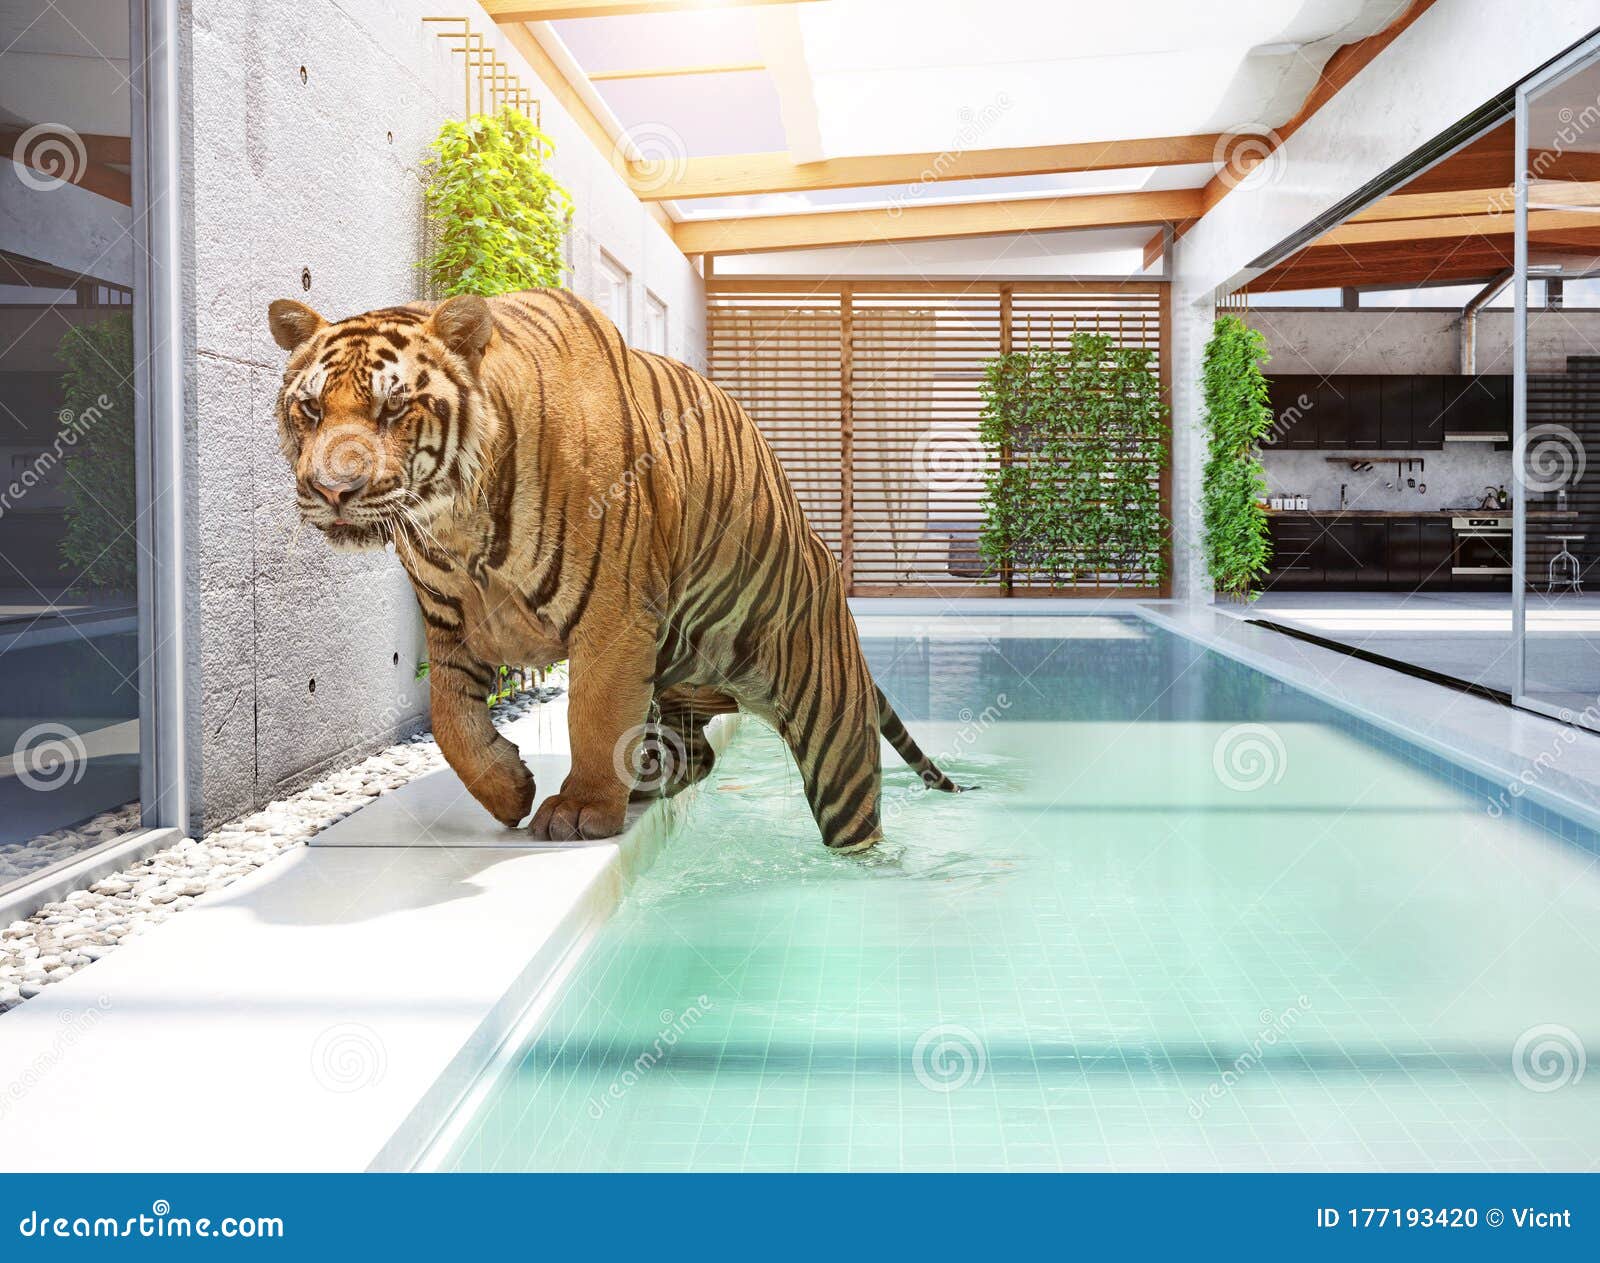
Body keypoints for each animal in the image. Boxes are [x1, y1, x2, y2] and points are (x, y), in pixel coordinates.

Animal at [266, 287, 963, 850]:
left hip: (833, 729)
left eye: (393, 409)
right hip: (682, 683)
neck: (456, 527)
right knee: (697, 755)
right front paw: (509, 790)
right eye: (311, 409)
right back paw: (650, 775)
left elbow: (595, 711)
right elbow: (450, 721)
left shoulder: (614, 612)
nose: (331, 490)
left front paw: (579, 809)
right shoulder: (449, 625)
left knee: (853, 820)